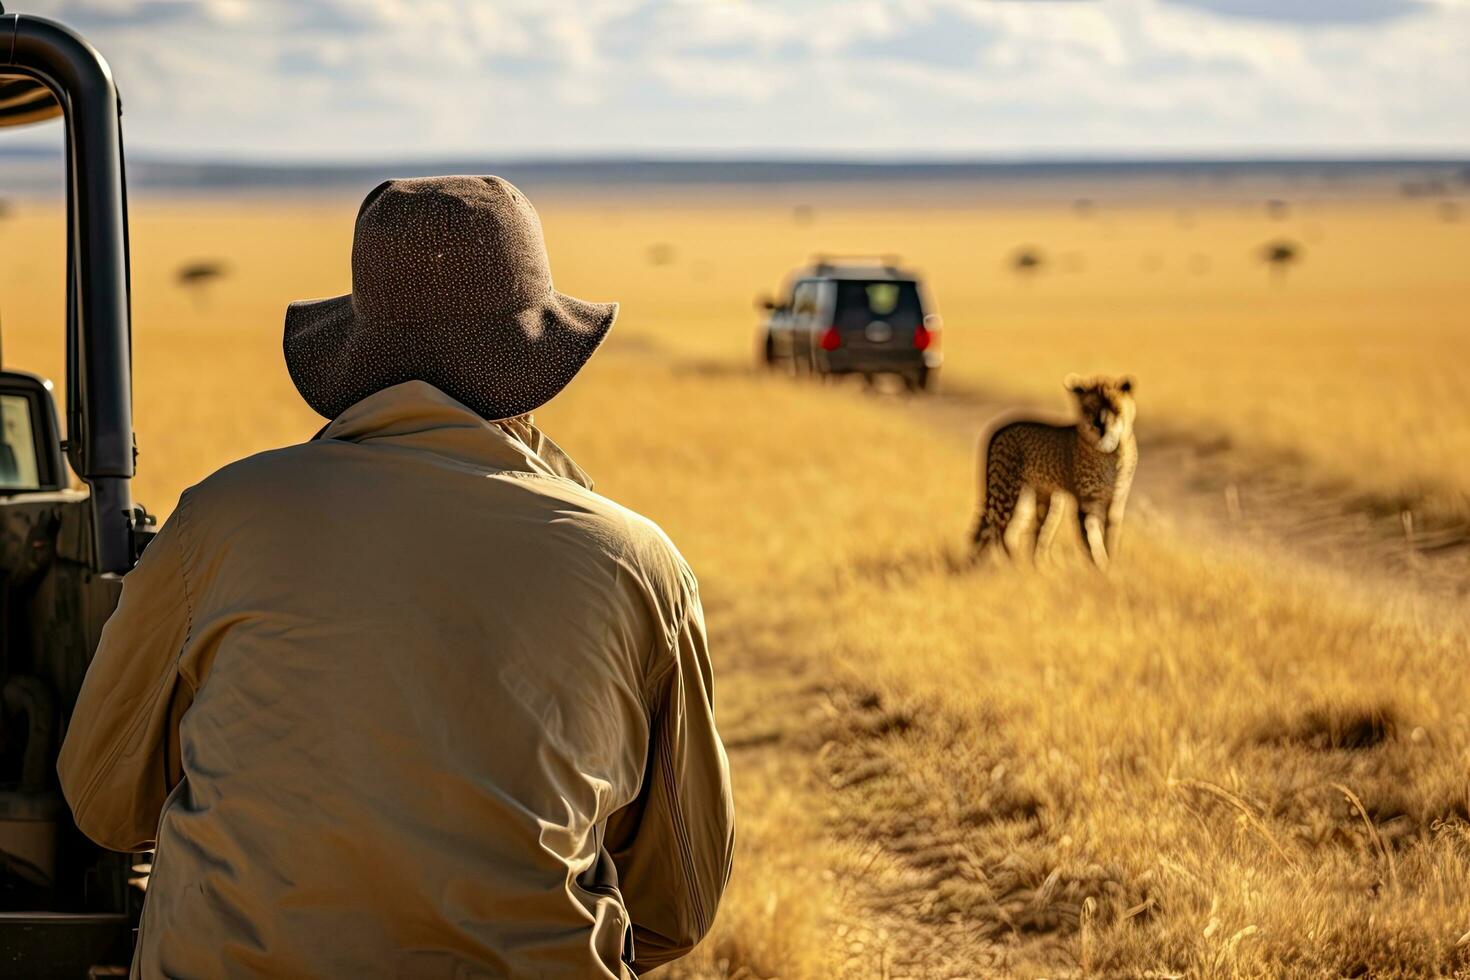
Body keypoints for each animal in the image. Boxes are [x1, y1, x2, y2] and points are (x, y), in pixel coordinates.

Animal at [976, 379, 1134, 570]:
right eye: (1089, 408)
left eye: (1113, 407)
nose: (1097, 424)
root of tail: (1001, 428)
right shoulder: (1088, 503)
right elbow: (1091, 538)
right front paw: (1099, 568)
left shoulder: (1116, 502)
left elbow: (1110, 537)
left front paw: (1110, 566)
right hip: (1004, 491)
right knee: (998, 529)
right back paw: (1012, 565)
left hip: (1043, 496)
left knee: (1029, 530)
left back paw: (1035, 565)